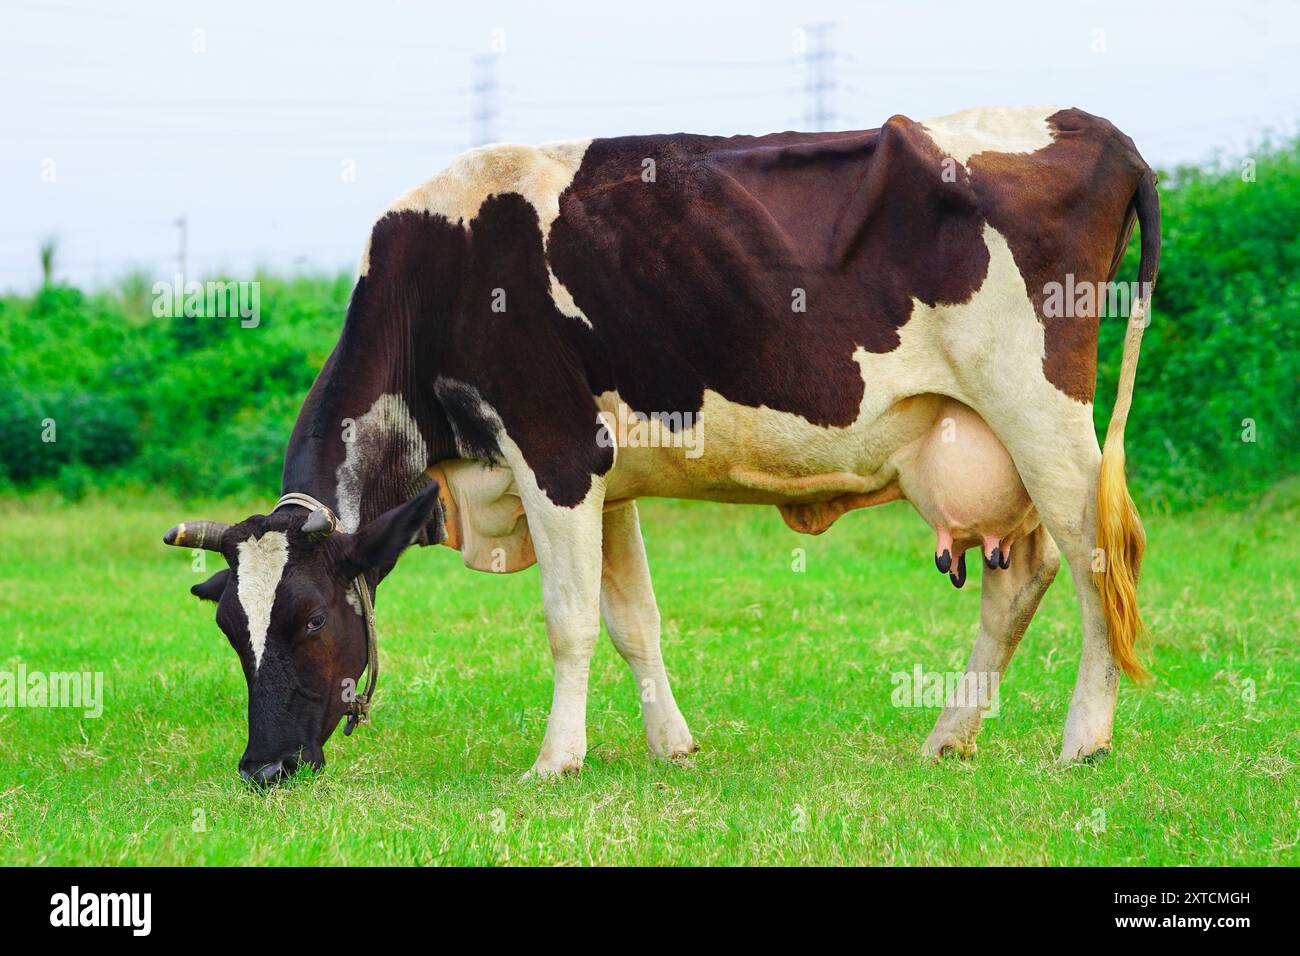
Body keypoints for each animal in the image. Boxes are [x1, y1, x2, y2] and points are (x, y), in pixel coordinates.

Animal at [164, 106, 1159, 784]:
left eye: (312, 620)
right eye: (230, 630)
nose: (261, 768)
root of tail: (1090, 124)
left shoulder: (556, 453)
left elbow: (567, 621)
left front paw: (555, 761)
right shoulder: (608, 480)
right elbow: (631, 620)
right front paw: (671, 744)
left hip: (1040, 412)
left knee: (1094, 561)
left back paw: (1084, 739)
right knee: (1021, 577)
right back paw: (950, 736)